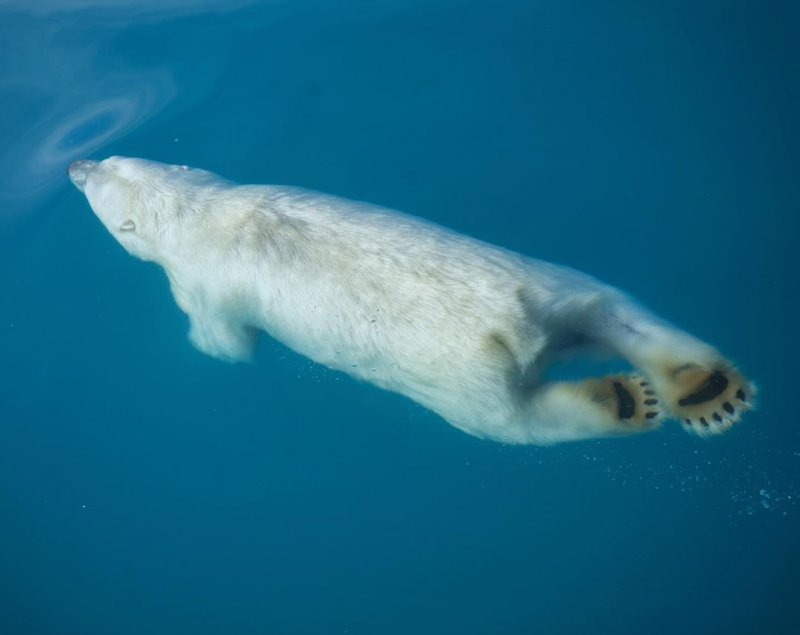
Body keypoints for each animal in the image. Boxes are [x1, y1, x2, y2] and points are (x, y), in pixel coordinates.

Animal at [69, 157, 756, 444]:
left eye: (98, 174)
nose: (75, 164)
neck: (201, 211)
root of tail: (514, 327)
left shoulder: (198, 283)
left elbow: (224, 342)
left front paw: (213, 351)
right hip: (549, 280)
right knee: (616, 313)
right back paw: (706, 390)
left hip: (465, 380)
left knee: (518, 422)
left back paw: (624, 400)